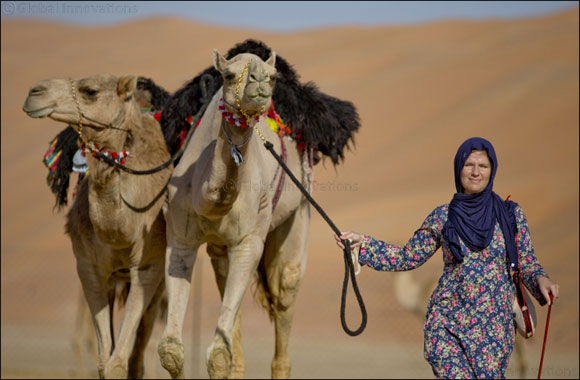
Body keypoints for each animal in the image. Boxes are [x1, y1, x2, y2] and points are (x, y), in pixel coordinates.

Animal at [23, 73, 172, 378]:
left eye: (89, 91)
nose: (34, 92)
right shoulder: (88, 268)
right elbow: (105, 360)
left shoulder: (148, 267)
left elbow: (118, 360)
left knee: (138, 353)